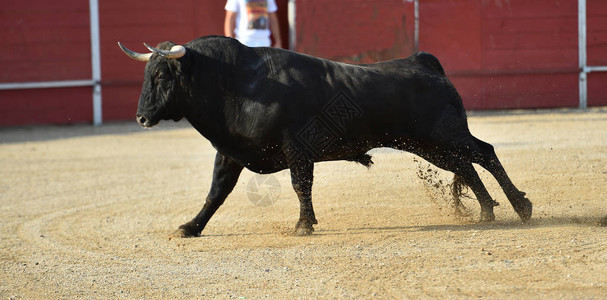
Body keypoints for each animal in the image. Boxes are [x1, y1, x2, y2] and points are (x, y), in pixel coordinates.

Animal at [119, 35, 532, 237]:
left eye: (162, 76)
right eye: (147, 75)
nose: (141, 118)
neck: (236, 83)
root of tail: (424, 61)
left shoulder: (296, 149)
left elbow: (300, 185)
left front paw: (304, 225)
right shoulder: (231, 154)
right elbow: (216, 193)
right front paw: (191, 227)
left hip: (446, 135)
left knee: (484, 153)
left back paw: (520, 207)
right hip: (430, 145)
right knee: (467, 166)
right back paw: (486, 212)